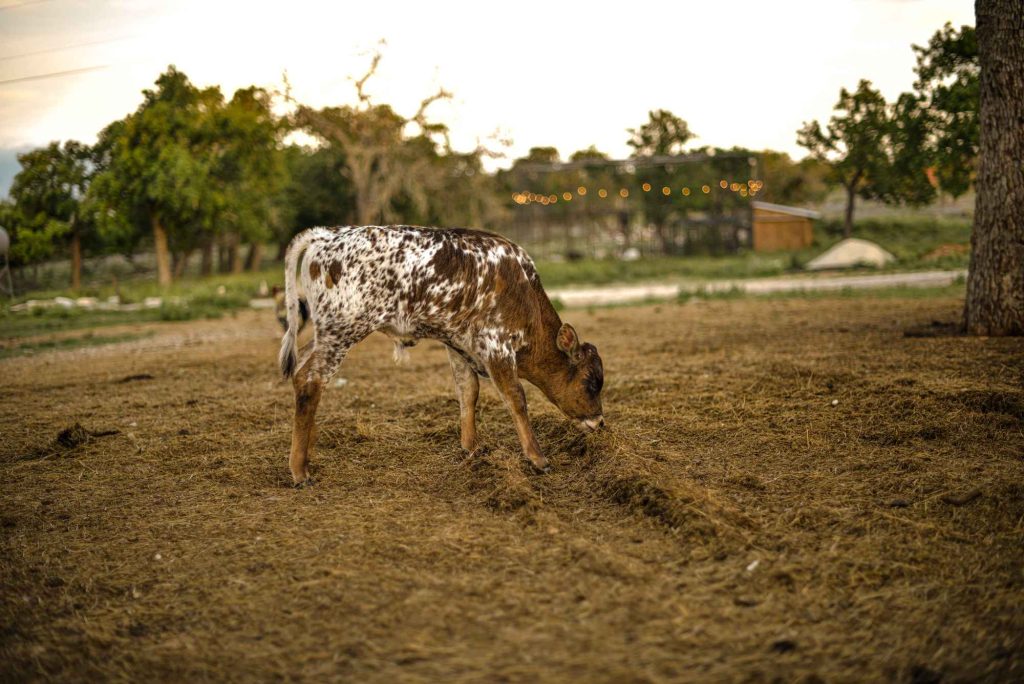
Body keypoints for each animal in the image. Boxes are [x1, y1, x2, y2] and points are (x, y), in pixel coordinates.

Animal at [276, 225, 602, 485]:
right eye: (590, 382)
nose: (600, 422)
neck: (522, 287)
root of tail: (327, 234)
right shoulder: (496, 344)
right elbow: (516, 400)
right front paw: (537, 458)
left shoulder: (458, 344)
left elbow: (469, 392)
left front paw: (472, 447)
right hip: (342, 332)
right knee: (310, 380)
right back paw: (299, 470)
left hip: (326, 334)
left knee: (302, 369)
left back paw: (308, 450)